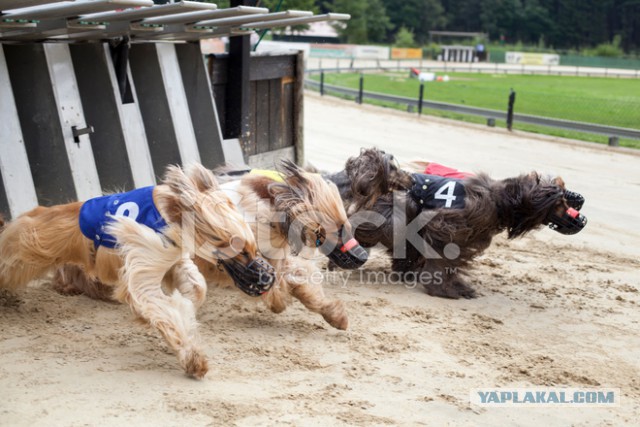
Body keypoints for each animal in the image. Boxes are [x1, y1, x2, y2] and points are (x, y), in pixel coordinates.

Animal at [0, 164, 276, 378]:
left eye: (254, 248)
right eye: (241, 251)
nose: (268, 278)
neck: (170, 218)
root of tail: (36, 212)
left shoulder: (173, 259)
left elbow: (196, 287)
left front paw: (187, 303)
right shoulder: (144, 262)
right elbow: (161, 307)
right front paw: (192, 358)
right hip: (27, 252)